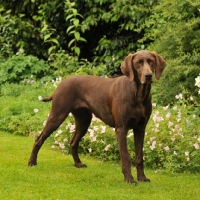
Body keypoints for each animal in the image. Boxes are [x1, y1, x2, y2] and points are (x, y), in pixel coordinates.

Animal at [27, 50, 166, 184]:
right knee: (39, 139)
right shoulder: (121, 129)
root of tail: (61, 83)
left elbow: (139, 157)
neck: (138, 94)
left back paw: (78, 163)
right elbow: (125, 157)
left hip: (84, 121)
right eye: (138, 63)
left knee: (73, 142)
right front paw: (129, 179)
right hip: (57, 116)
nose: (148, 75)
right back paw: (32, 162)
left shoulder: (140, 128)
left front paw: (142, 178)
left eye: (151, 61)